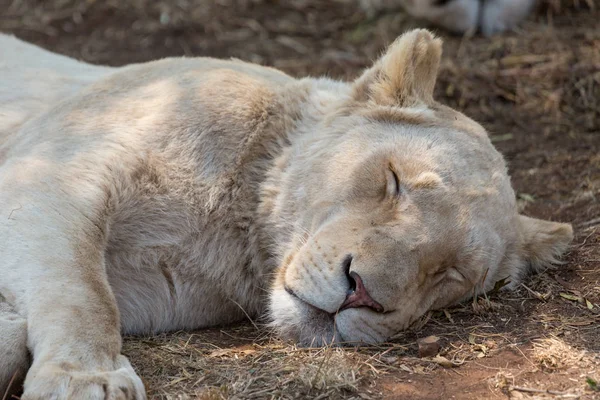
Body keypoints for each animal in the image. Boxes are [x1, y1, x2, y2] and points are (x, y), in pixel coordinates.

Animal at [0, 28, 572, 400]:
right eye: (394, 181)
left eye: (451, 273)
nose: (360, 293)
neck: (234, 221)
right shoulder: (51, 171)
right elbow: (82, 292)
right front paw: (86, 378)